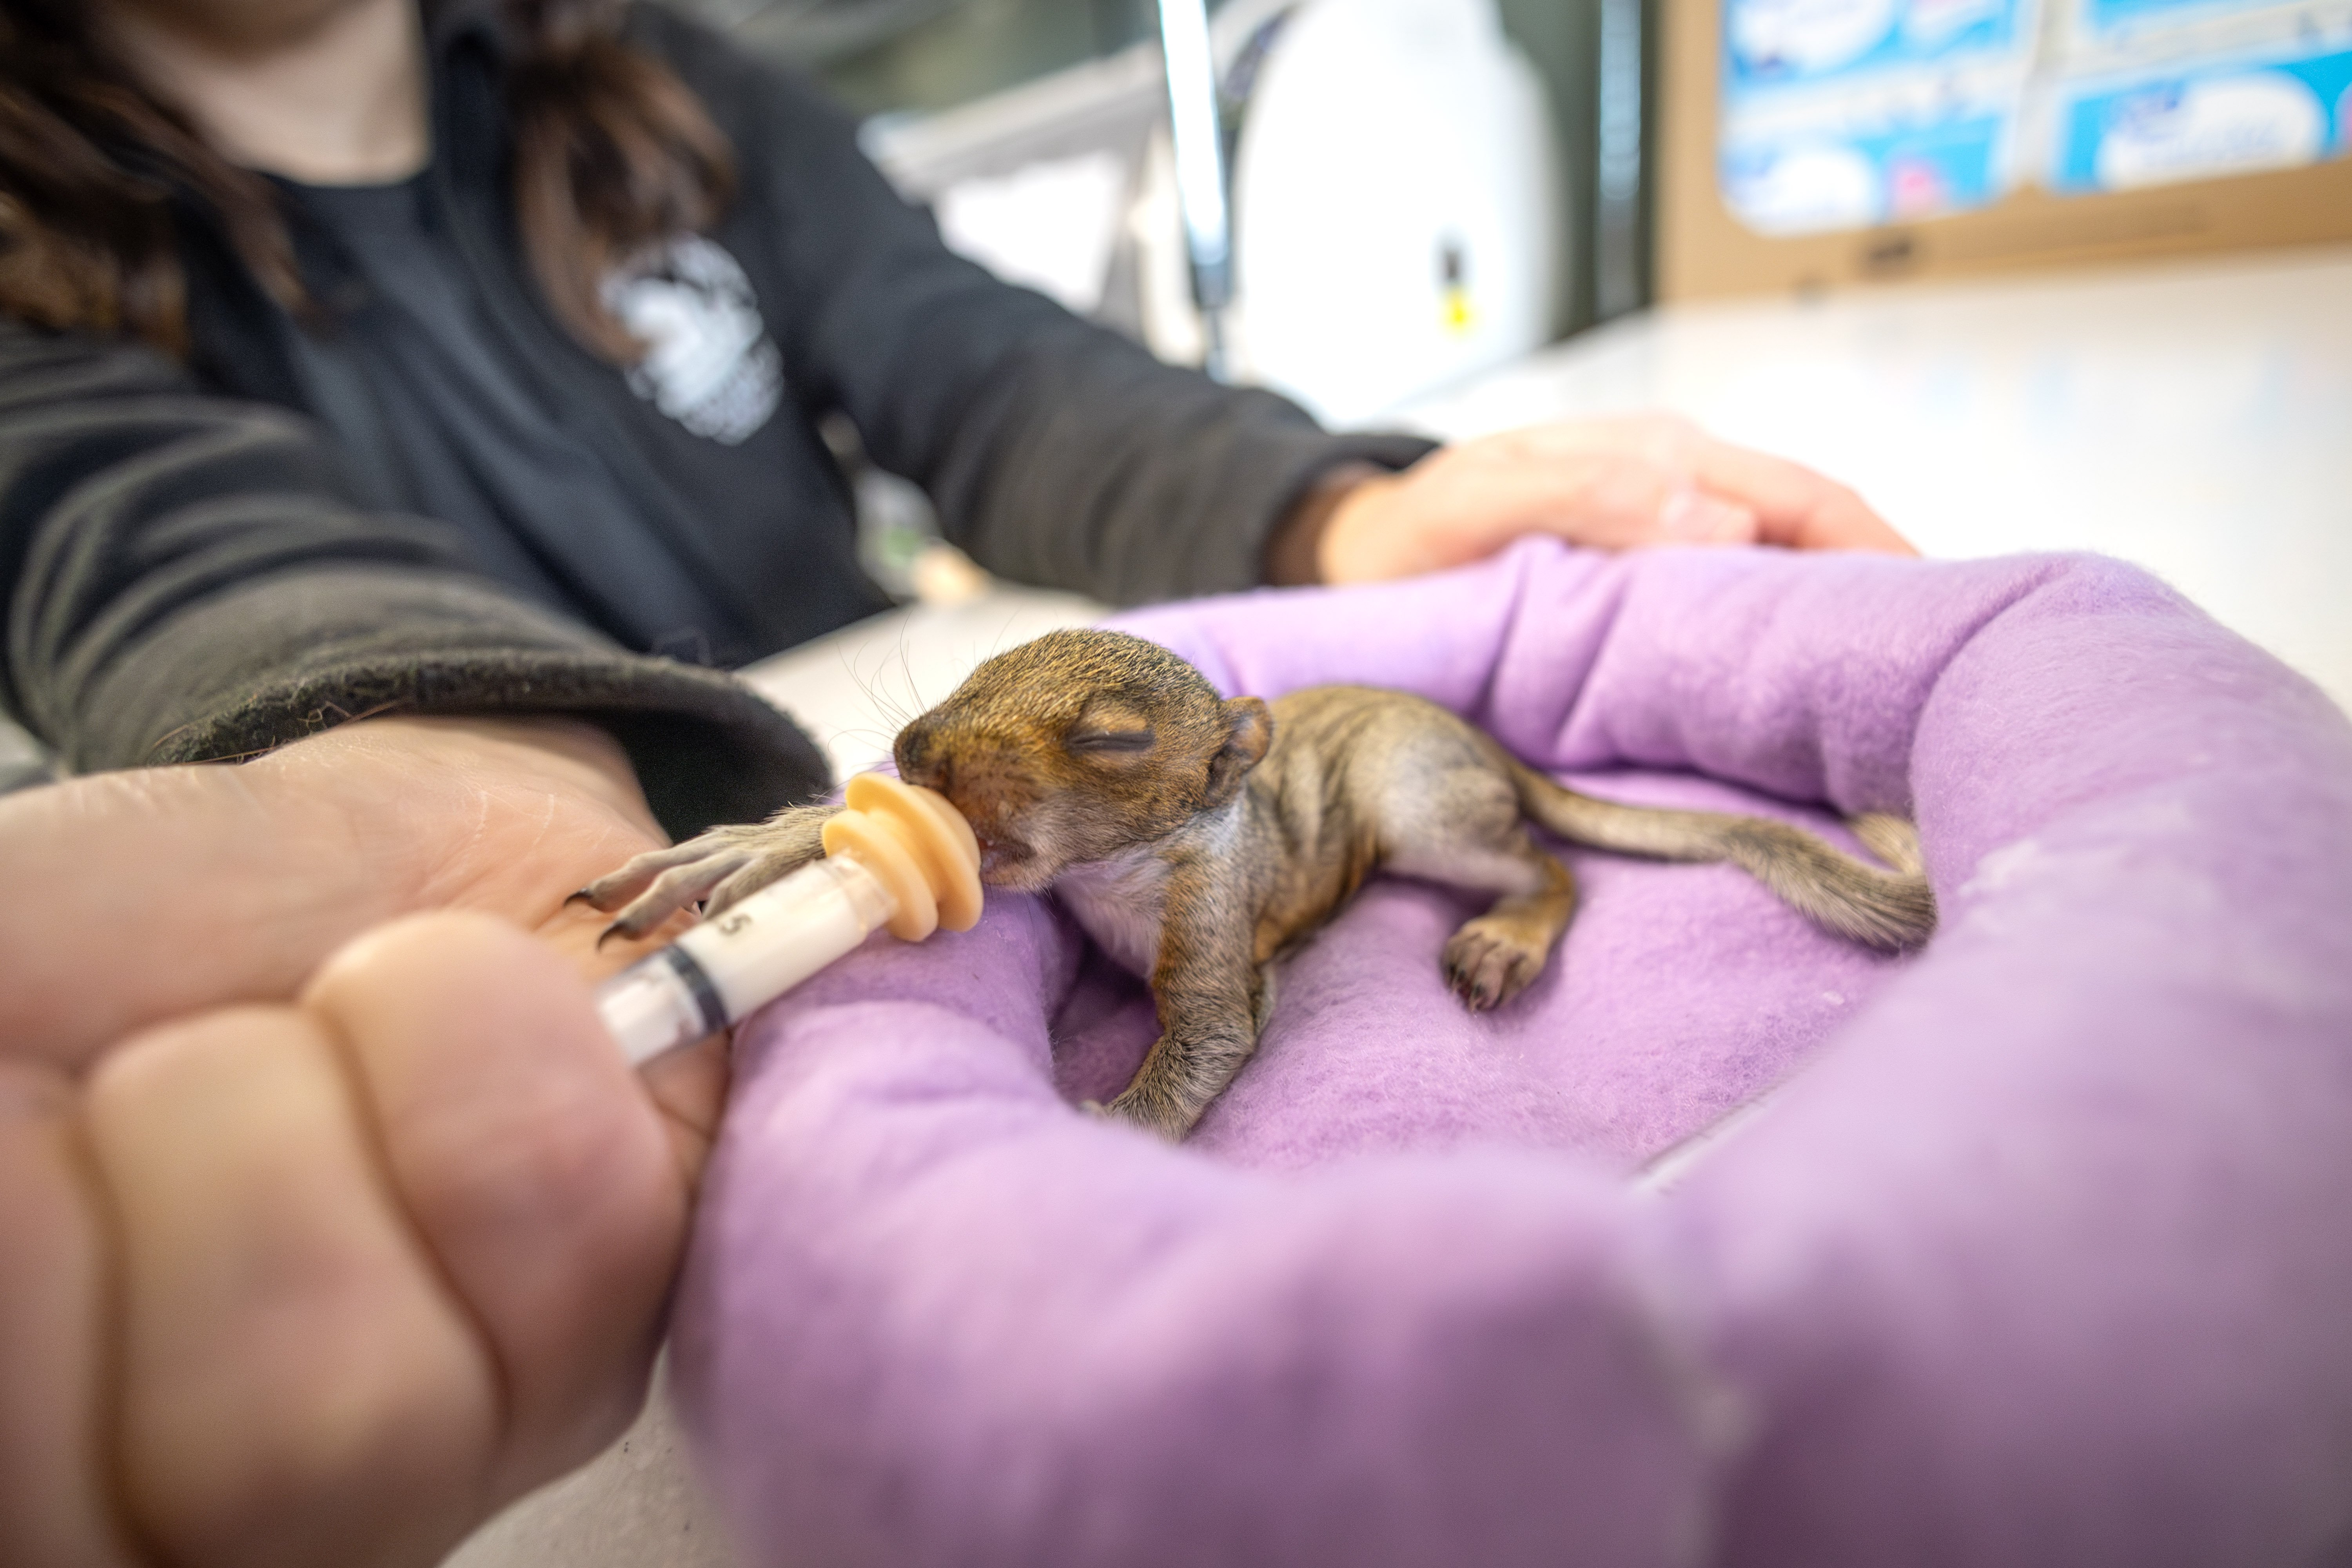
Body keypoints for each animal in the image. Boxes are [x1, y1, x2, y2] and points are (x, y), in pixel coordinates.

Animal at [576, 629, 1935, 1139]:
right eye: (972, 671)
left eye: (1115, 737)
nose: (913, 755)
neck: (1115, 875)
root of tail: (1490, 746)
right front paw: (767, 842)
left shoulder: (1214, 921)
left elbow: (1210, 1034)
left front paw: (1098, 1134)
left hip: (1420, 807)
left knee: (1552, 869)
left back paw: (1504, 935)